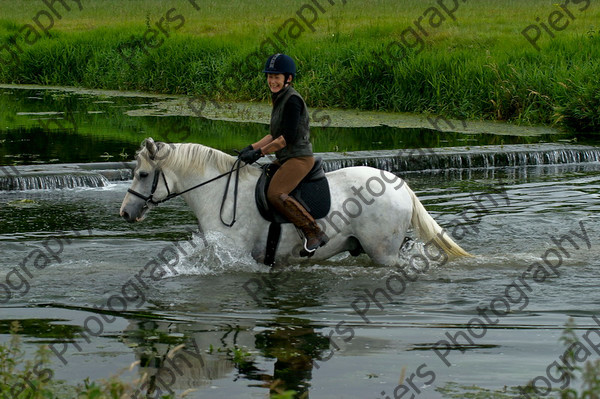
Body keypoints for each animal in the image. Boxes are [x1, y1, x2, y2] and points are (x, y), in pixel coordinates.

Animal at [119, 139, 472, 268]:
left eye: (143, 174)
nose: (125, 212)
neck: (217, 190)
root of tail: (399, 184)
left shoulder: (236, 255)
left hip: (383, 252)